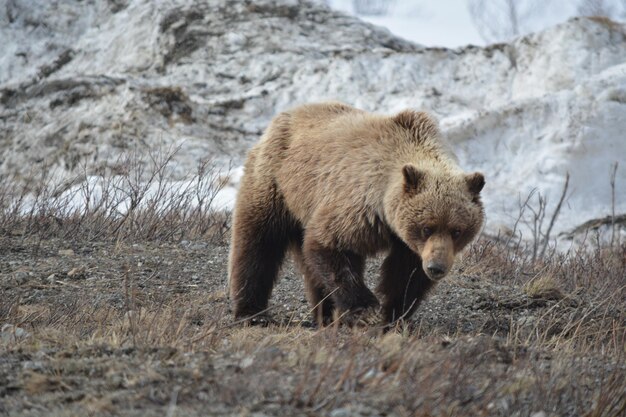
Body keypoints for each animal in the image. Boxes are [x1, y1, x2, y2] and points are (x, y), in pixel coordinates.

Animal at [227, 101, 486, 324]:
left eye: (457, 230)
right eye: (427, 227)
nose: (436, 267)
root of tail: (287, 113)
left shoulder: (408, 243)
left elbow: (406, 275)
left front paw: (392, 315)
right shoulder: (360, 208)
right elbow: (330, 246)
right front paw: (365, 309)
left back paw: (325, 315)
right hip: (276, 183)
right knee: (258, 243)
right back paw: (252, 312)